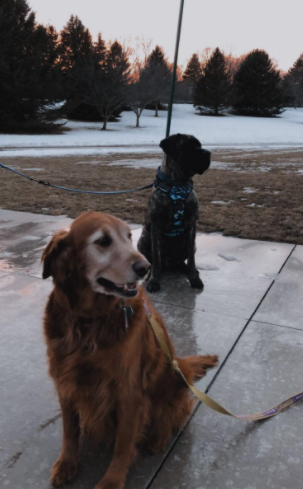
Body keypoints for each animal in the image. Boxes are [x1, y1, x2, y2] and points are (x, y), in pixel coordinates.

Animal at [42, 211, 218, 488]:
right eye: (103, 241)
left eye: (128, 237)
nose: (146, 267)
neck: (89, 320)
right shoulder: (65, 381)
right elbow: (69, 430)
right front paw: (67, 463)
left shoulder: (128, 390)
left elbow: (123, 443)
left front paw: (111, 481)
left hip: (174, 383)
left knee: (175, 415)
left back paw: (157, 439)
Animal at [138, 133, 211, 292]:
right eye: (189, 145)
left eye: (200, 145)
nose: (208, 153)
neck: (178, 183)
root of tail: (169, 264)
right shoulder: (156, 225)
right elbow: (156, 257)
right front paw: (154, 280)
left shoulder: (191, 224)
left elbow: (191, 259)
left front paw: (194, 278)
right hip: (143, 240)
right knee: (153, 261)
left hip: (192, 245)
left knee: (183, 261)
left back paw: (187, 269)